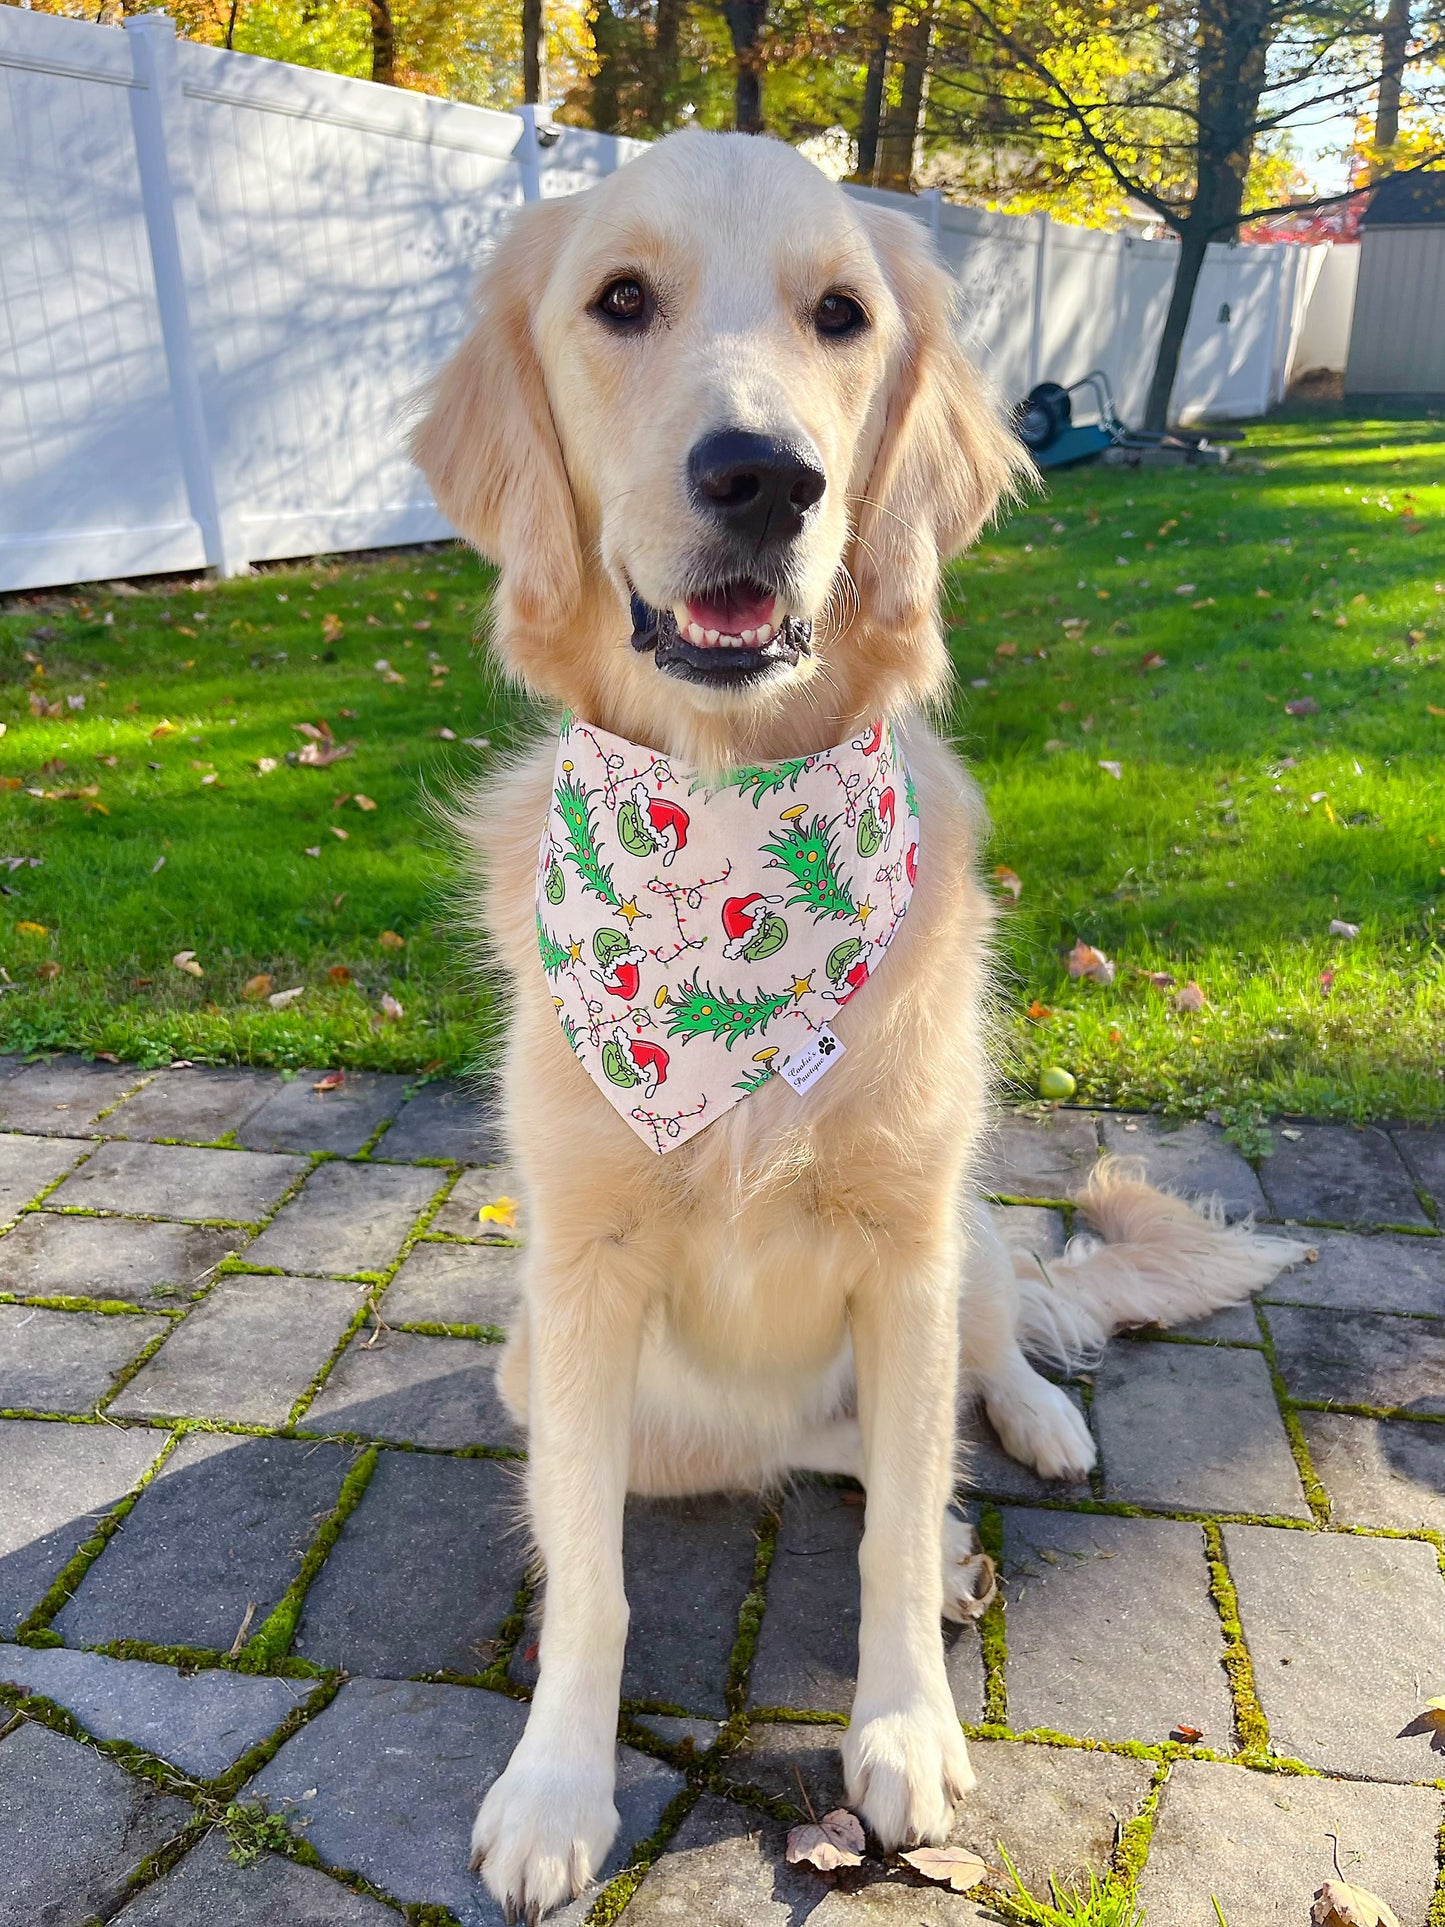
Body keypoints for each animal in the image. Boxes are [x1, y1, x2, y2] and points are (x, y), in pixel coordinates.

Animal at [412, 128, 1310, 1919]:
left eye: (840, 314)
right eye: (620, 300)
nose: (765, 477)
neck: (729, 818)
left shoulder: (902, 1237)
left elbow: (897, 1514)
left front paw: (902, 1728)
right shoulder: (579, 1286)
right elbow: (594, 1571)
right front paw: (554, 1783)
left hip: (960, 1231)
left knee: (984, 1356)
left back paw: (1031, 1433)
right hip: (582, 1380)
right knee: (840, 1449)